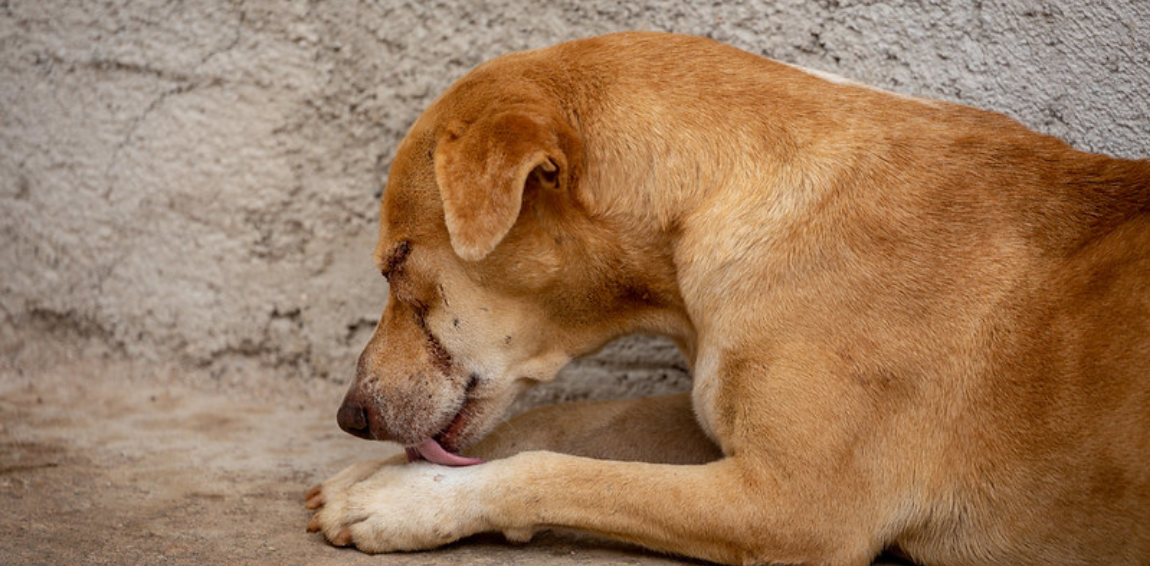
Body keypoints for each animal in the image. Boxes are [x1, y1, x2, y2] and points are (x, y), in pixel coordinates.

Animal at [305, 32, 1150, 566]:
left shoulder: (797, 508)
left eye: (398, 260)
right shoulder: (711, 412)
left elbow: (556, 471)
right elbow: (568, 421)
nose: (351, 417)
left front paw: (406, 503)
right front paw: (376, 473)